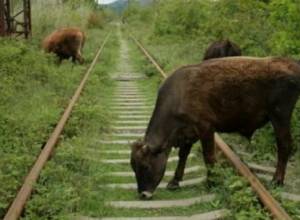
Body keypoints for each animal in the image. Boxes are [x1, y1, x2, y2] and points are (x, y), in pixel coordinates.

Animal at [131, 56, 300, 199]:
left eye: (145, 166)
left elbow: (209, 156)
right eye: (133, 167)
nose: (143, 194)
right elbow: (183, 155)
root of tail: (289, 62)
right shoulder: (188, 133)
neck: (179, 95)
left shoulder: (205, 127)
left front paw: (212, 182)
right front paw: (175, 181)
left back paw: (277, 180)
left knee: (284, 145)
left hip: (279, 116)